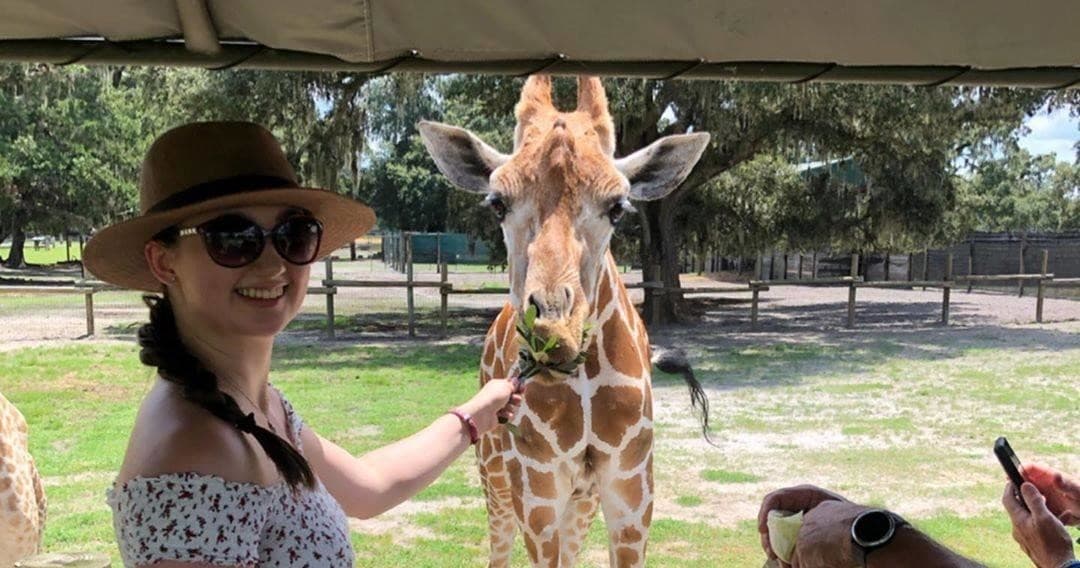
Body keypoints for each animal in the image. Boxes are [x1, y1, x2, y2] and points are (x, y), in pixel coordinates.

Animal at [419, 75, 711, 567]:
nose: (554, 334)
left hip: (580, 497)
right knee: (498, 549)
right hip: (496, 475)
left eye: (618, 207)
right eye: (497, 204)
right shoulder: (537, 493)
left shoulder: (632, 495)